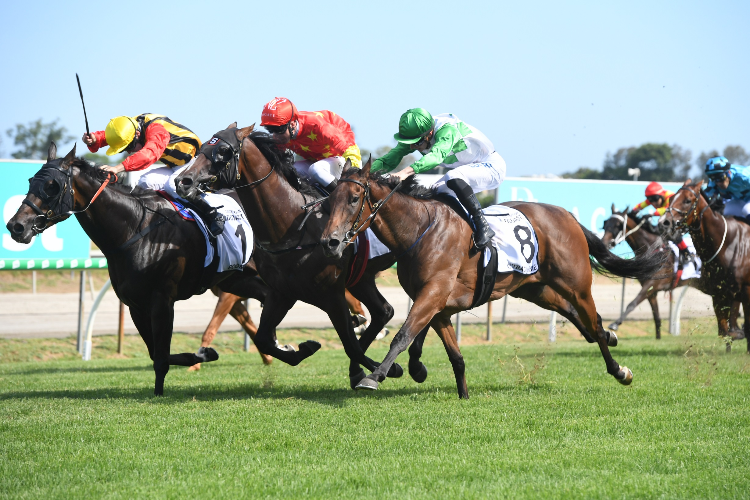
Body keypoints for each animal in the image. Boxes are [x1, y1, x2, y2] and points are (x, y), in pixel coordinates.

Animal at [174, 125, 402, 386]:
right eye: (201, 148)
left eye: (223, 150)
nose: (183, 181)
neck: (291, 229)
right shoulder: (280, 292)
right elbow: (263, 338)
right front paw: (300, 349)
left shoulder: (331, 294)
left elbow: (350, 345)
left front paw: (387, 369)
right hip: (360, 277)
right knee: (383, 311)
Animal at [320, 164, 668, 398]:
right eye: (329, 199)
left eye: (354, 198)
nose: (330, 242)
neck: (420, 229)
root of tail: (566, 215)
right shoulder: (438, 304)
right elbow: (454, 356)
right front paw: (459, 393)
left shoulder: (433, 294)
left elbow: (404, 335)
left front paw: (375, 375)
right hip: (536, 289)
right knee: (577, 316)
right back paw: (611, 337)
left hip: (577, 283)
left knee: (592, 321)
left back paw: (619, 369)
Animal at [664, 181, 750, 352]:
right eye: (670, 199)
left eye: (687, 200)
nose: (664, 222)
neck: (730, 246)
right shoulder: (719, 294)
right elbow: (724, 332)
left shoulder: (746, 291)